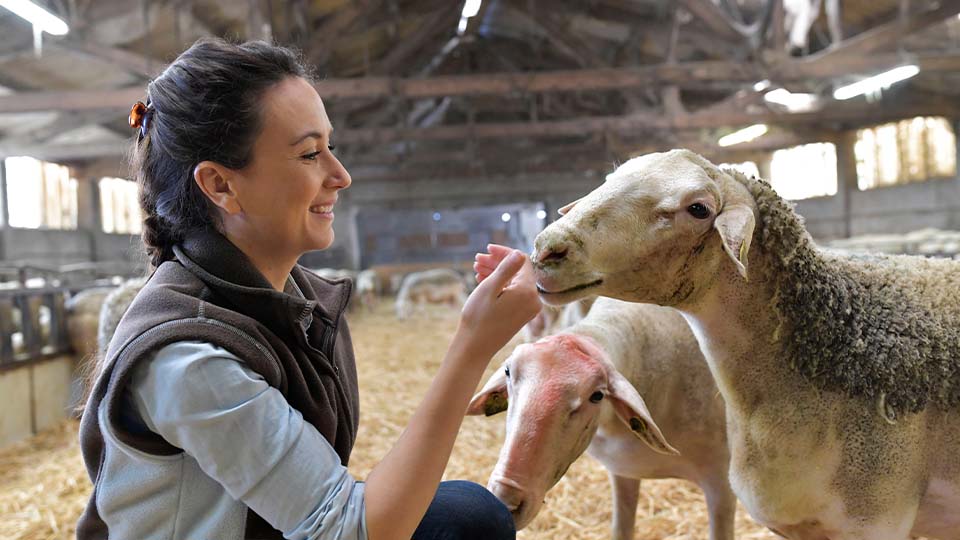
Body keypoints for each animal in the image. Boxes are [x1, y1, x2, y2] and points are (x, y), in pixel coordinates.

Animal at [468, 297, 733, 540]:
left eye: (597, 395)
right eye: (507, 371)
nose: (507, 501)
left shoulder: (721, 484)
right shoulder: (624, 471)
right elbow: (622, 530)